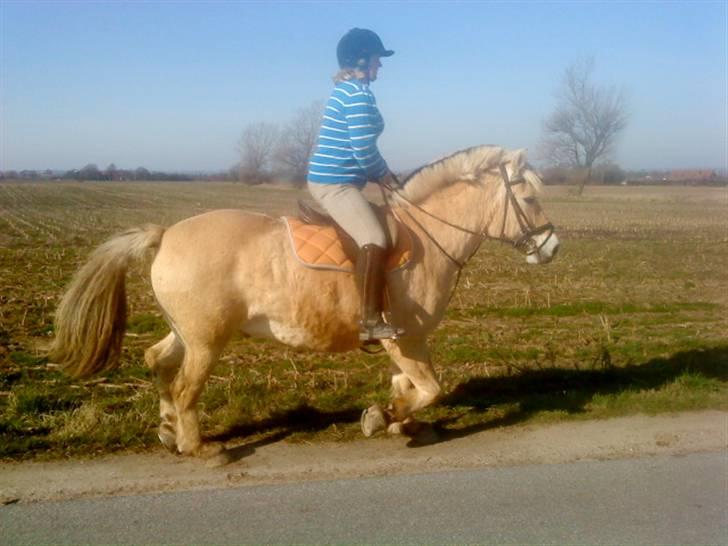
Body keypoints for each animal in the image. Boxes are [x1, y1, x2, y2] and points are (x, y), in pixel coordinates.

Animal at [51, 144, 560, 460]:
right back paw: (198, 446)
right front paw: (382, 418)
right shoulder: (407, 339)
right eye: (529, 197)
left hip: (185, 332)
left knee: (157, 361)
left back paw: (167, 428)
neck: (425, 237)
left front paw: (401, 421)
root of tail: (166, 234)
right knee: (184, 387)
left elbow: (411, 388)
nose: (551, 248)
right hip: (206, 341)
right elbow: (429, 388)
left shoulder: (405, 343)